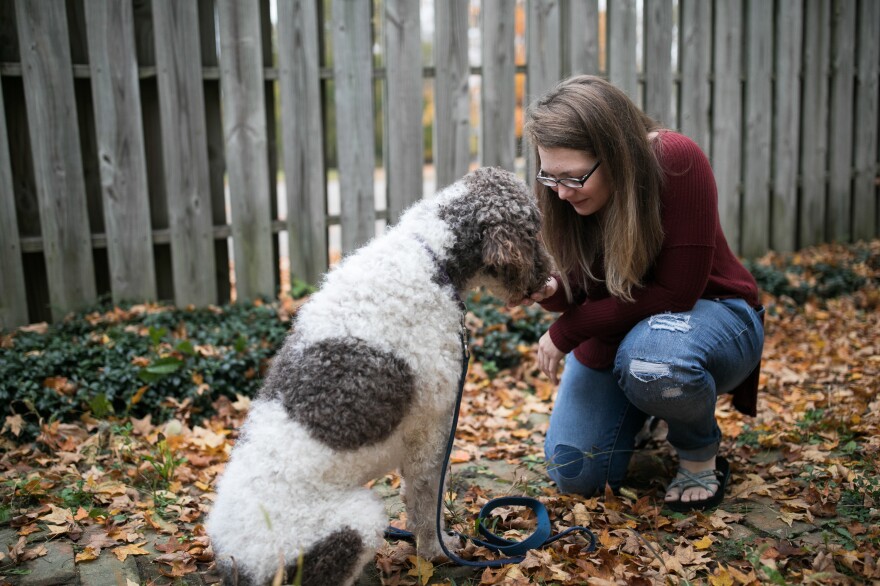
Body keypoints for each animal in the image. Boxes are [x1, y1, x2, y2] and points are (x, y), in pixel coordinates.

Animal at [206, 167, 552, 580]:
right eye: (534, 229)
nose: (550, 277)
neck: (430, 254)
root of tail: (236, 564)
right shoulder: (432, 429)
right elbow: (427, 501)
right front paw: (435, 551)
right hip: (357, 520)